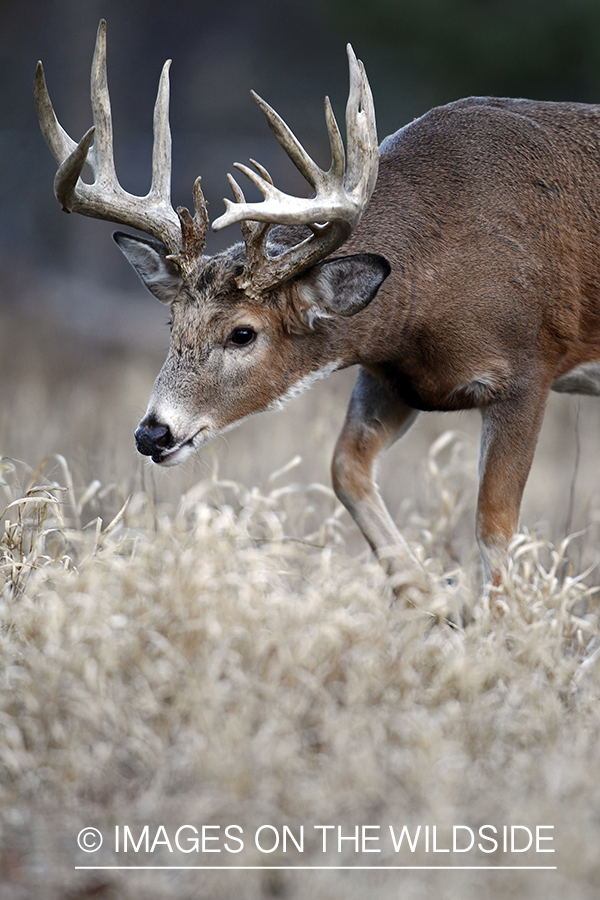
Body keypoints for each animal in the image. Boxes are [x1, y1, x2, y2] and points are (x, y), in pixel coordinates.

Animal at [34, 21, 600, 596]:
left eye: (243, 333)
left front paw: (492, 614)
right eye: (173, 322)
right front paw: (430, 596)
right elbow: (344, 469)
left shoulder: (528, 369)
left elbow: (494, 527)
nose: (153, 433)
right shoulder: (390, 374)